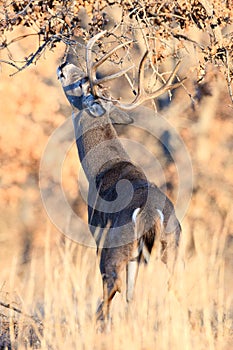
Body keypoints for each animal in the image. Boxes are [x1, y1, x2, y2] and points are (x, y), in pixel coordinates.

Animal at [57, 31, 184, 326]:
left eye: (83, 82)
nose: (63, 65)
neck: (102, 168)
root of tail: (152, 213)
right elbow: (132, 294)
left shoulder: (96, 231)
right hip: (170, 245)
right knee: (169, 286)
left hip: (117, 242)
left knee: (110, 283)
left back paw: (97, 323)